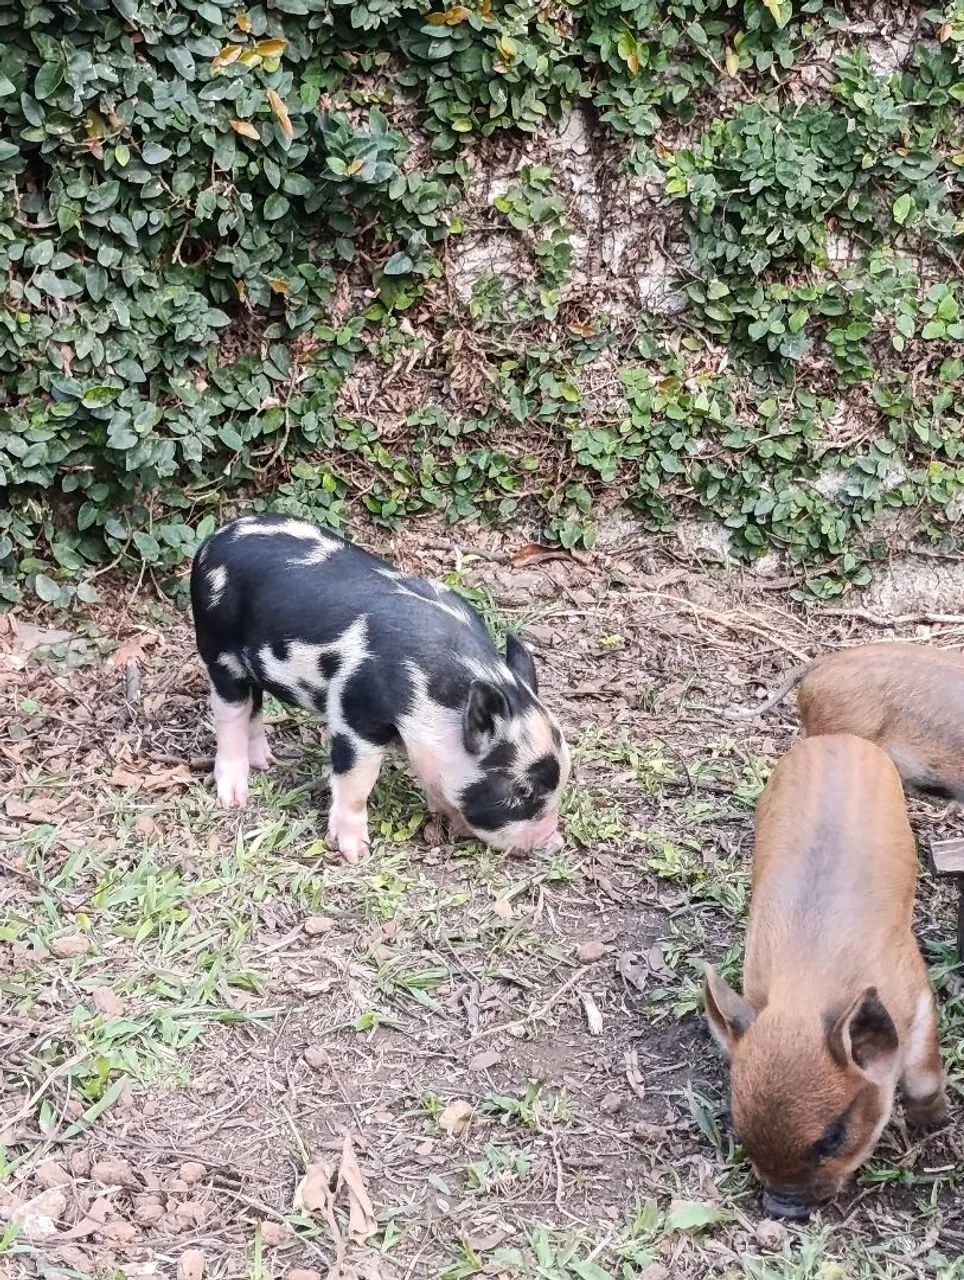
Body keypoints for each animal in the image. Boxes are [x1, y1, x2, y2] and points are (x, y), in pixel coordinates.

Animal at [190, 514, 570, 862]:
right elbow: (356, 781)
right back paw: (234, 798)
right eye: (522, 790)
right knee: (231, 714)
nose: (554, 841)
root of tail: (215, 539)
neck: (432, 689)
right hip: (218, 649)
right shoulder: (355, 712)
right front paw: (355, 853)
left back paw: (266, 763)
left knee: (254, 707)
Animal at [703, 734, 948, 1220]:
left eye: (832, 1137)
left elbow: (922, 1075)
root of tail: (837, 739)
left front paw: (939, 1118)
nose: (782, 1207)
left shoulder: (917, 993)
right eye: (739, 1128)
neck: (810, 990)